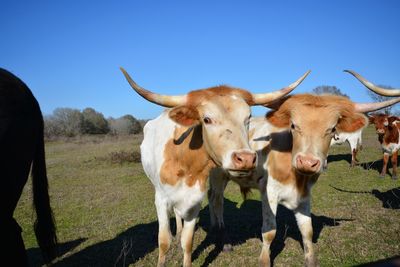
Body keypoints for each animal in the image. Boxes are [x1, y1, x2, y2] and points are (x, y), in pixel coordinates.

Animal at [119, 67, 310, 267]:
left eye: (248, 118)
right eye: (207, 119)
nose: (245, 159)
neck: (184, 162)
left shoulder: (194, 200)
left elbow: (187, 242)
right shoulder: (161, 200)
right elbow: (164, 242)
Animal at [208, 93, 400, 266]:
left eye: (332, 129)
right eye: (293, 125)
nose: (308, 162)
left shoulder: (305, 194)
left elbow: (307, 231)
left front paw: (310, 260)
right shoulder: (269, 192)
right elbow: (269, 232)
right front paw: (264, 260)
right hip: (218, 176)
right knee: (217, 203)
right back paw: (225, 241)